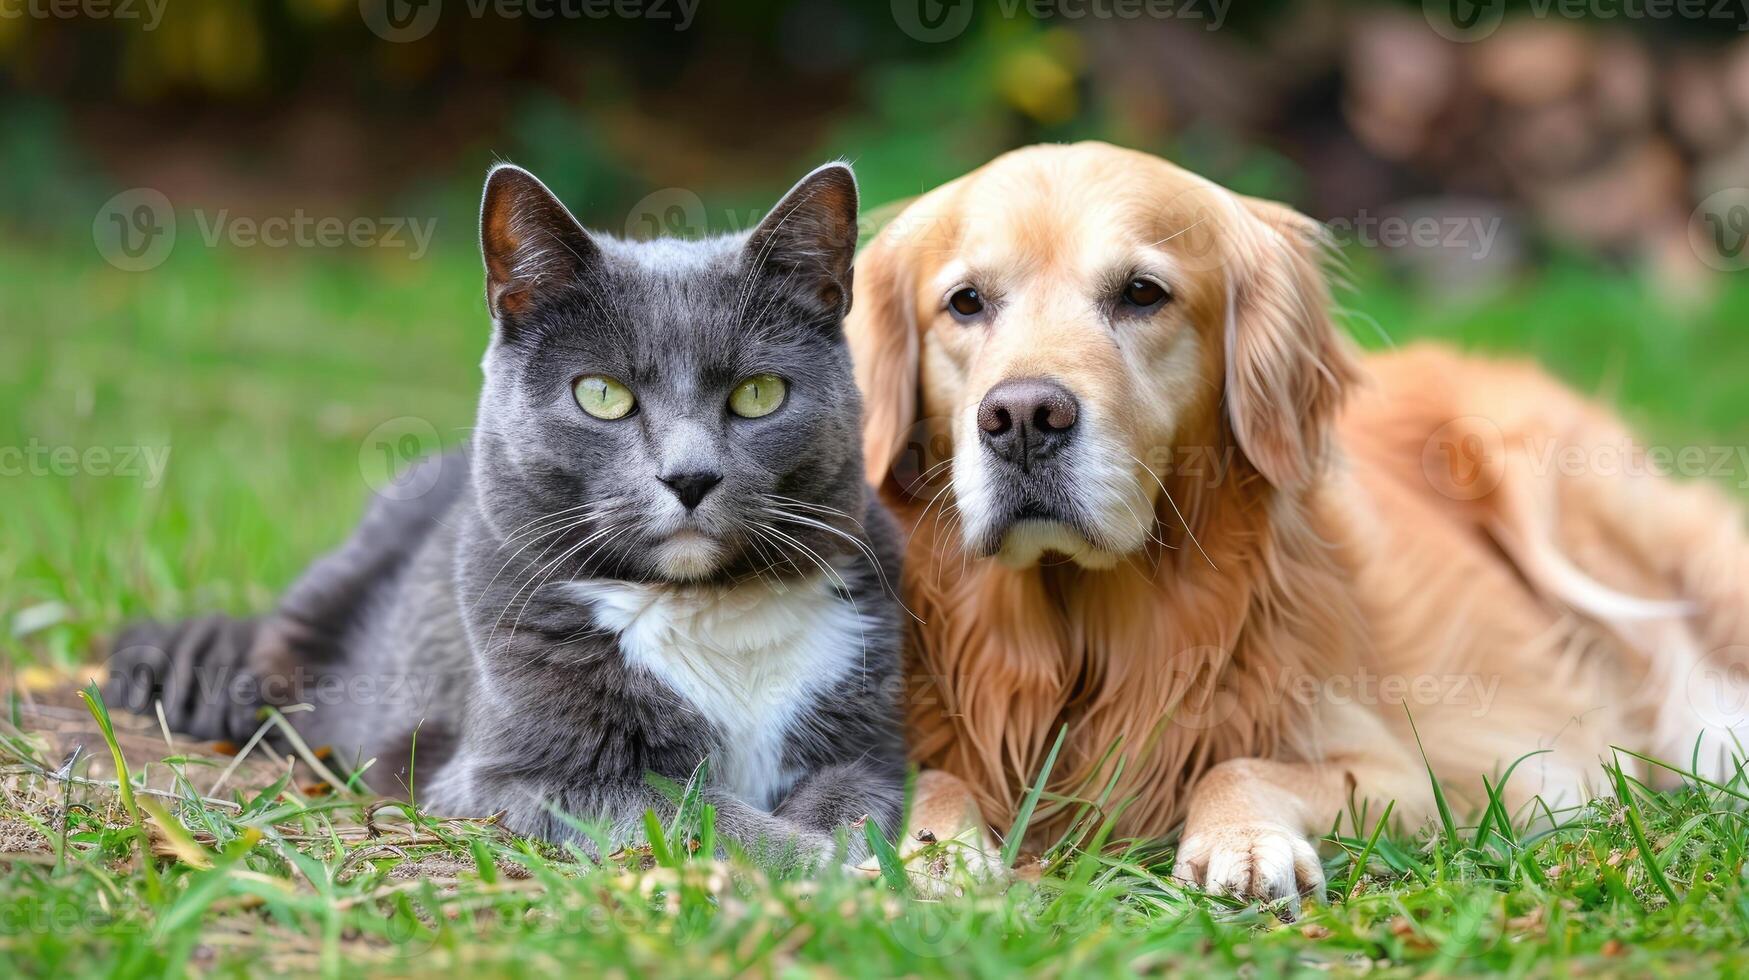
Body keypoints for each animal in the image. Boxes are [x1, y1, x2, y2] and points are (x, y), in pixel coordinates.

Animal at [109, 162, 909, 864]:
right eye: (602, 395)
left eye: (758, 394)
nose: (689, 476)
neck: (709, 608)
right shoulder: (518, 776)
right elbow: (684, 808)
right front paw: (808, 863)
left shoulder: (869, 741)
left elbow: (857, 800)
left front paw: (846, 857)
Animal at [850, 143, 1749, 903]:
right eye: (965, 303)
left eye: (1141, 293)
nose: (1023, 419)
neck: (1079, 643)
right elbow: (924, 778)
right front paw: (932, 854)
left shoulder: (1449, 779)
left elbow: (1240, 766)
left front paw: (1243, 839)